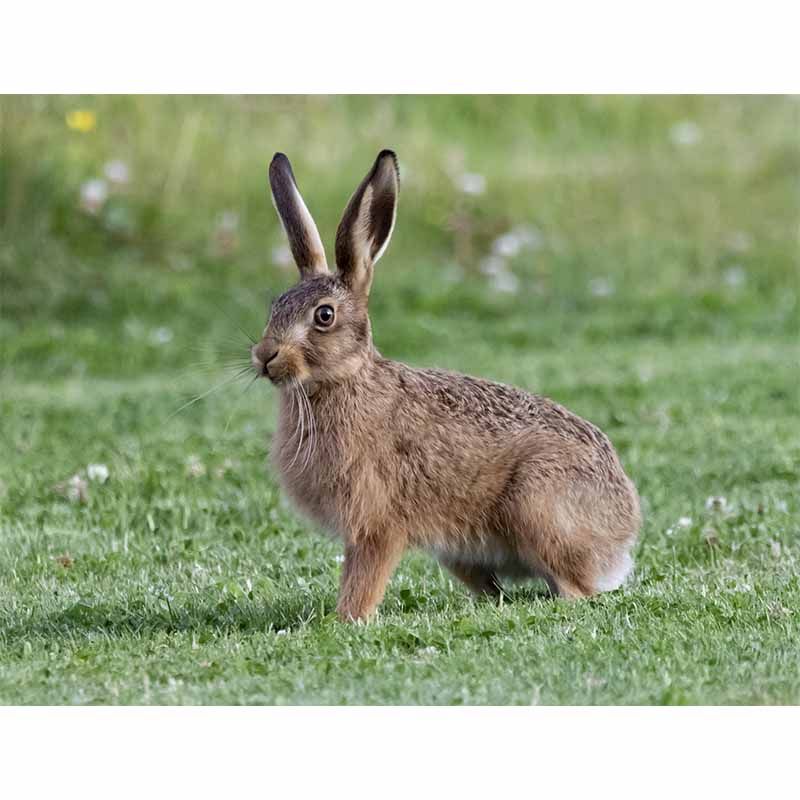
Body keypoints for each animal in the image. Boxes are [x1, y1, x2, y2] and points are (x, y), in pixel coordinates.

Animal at [251, 150, 641, 621]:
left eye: (323, 316)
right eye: (275, 306)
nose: (265, 356)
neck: (342, 381)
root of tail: (623, 531)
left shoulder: (378, 523)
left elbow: (363, 579)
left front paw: (347, 619)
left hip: (538, 505)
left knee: (576, 589)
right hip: (461, 554)